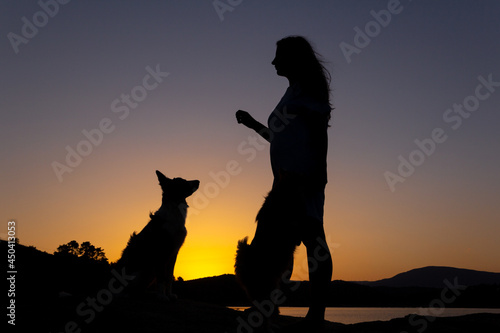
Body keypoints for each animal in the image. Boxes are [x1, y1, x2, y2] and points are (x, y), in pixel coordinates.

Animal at [115, 170, 199, 300]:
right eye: (183, 182)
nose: (198, 181)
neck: (174, 213)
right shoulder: (160, 252)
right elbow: (161, 278)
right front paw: (162, 296)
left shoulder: (174, 252)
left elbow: (169, 277)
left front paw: (169, 294)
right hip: (140, 270)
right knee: (128, 291)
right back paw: (128, 294)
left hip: (149, 271)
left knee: (140, 290)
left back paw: (150, 294)